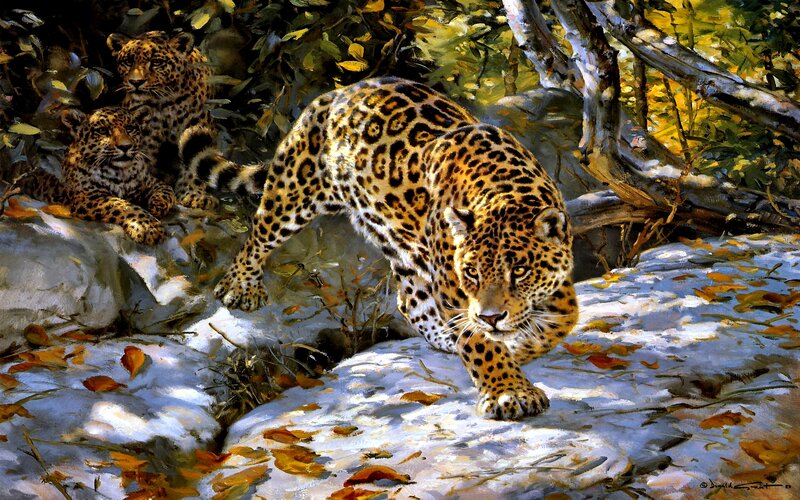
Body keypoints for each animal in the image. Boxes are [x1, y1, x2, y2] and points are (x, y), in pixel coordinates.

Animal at [23, 107, 175, 245]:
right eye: (102, 131)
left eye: (130, 128)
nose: (125, 146)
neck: (121, 173)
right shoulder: (88, 197)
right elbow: (123, 205)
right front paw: (148, 227)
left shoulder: (150, 181)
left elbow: (168, 191)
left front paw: (156, 206)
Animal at [107, 30, 218, 210]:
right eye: (128, 61)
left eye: (156, 62)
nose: (135, 82)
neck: (166, 101)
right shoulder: (144, 132)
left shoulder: (198, 124)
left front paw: (194, 195)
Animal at [179, 77, 578, 420]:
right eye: (471, 273)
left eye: (520, 271)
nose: (492, 317)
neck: (504, 191)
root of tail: (337, 93)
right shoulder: (455, 291)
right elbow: (482, 342)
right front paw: (509, 391)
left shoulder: (557, 286)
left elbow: (562, 321)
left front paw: (518, 348)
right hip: (294, 192)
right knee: (260, 233)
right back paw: (239, 288)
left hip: (397, 241)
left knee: (409, 300)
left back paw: (445, 335)